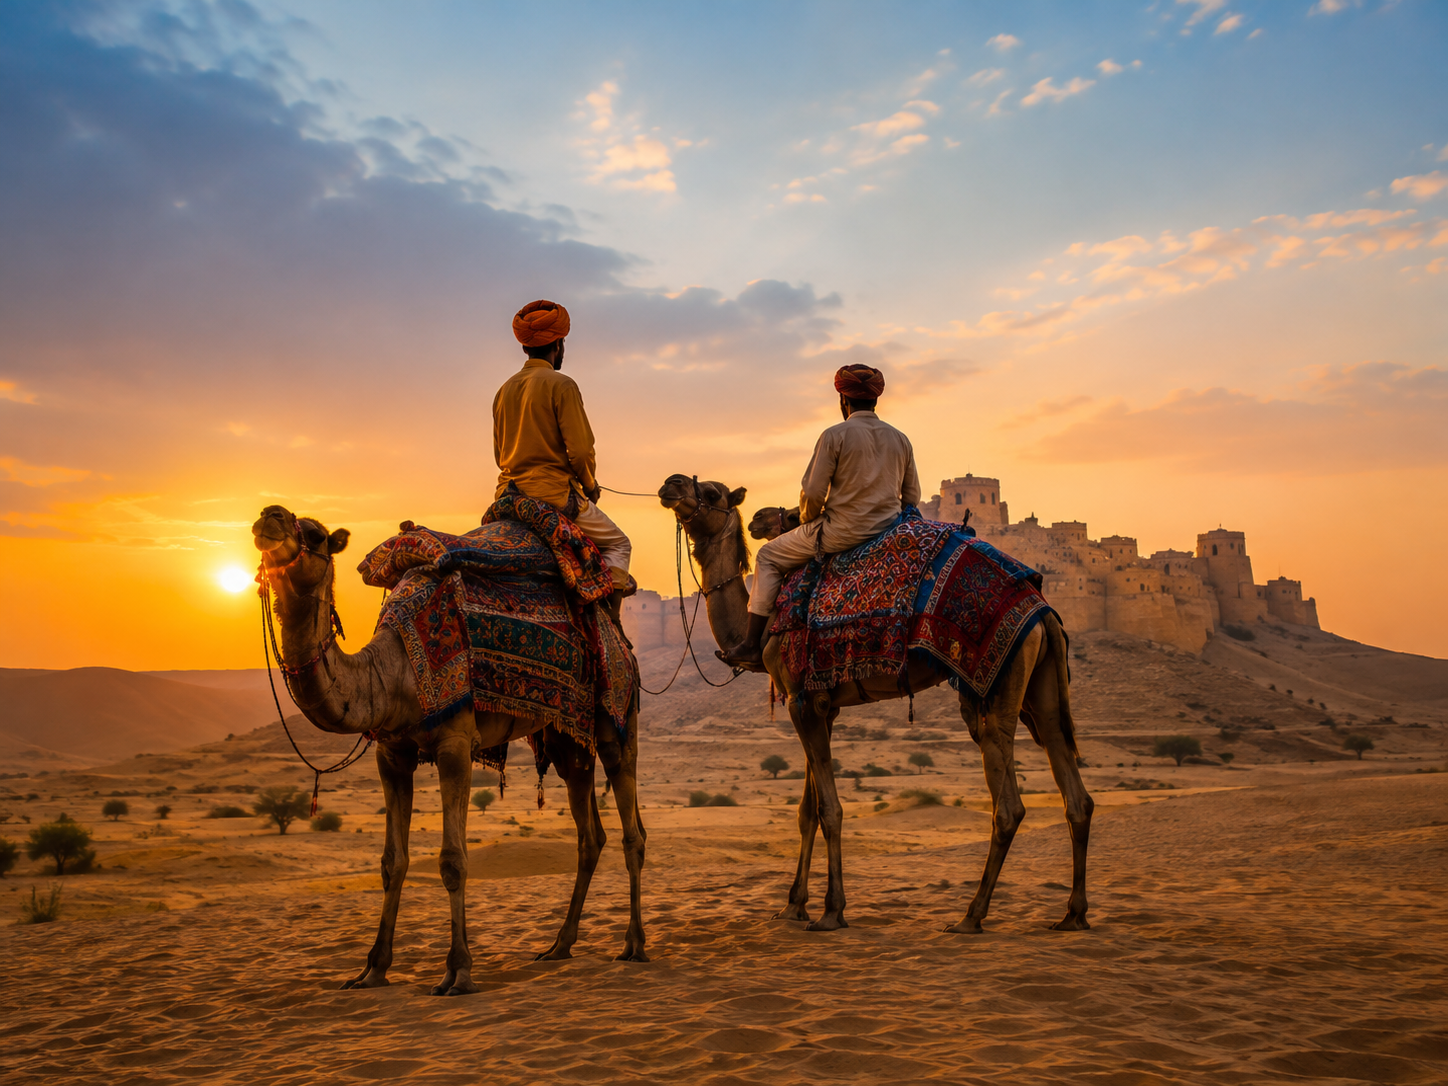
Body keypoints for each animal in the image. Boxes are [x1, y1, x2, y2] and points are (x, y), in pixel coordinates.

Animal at [251, 504, 647, 996]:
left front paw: (458, 971)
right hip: (566, 738)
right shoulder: (392, 753)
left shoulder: (455, 743)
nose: (269, 516)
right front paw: (372, 969)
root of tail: (620, 638)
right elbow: (392, 862)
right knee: (589, 833)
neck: (393, 671)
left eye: (316, 534)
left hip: (618, 710)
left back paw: (633, 945)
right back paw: (559, 946)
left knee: (632, 828)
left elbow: (453, 861)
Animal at [659, 475, 1093, 934]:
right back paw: (1073, 913)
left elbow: (829, 809)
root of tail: (1041, 608)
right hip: (1040, 688)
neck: (761, 629)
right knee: (1073, 788)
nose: (670, 484)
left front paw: (831, 911)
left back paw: (970, 916)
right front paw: (793, 906)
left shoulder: (798, 700)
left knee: (1008, 804)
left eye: (710, 493)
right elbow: (806, 810)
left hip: (993, 686)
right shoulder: (820, 703)